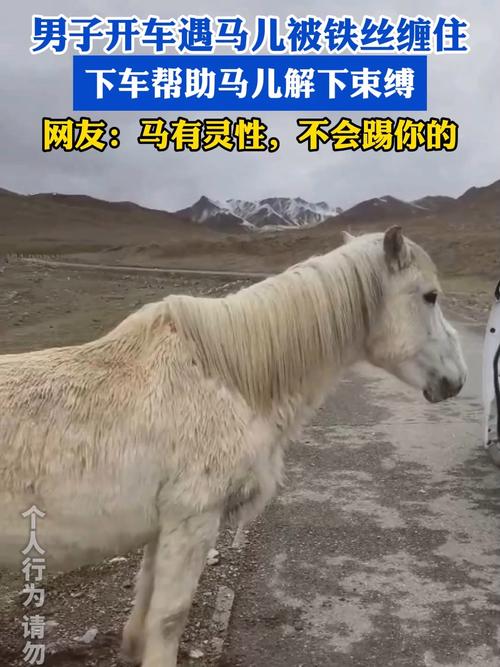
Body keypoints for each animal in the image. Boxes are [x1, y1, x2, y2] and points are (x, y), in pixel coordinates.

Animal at [0, 227, 467, 666]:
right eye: (429, 296)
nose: (457, 380)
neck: (223, 379)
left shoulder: (163, 525)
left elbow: (146, 597)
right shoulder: (193, 519)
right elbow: (169, 616)